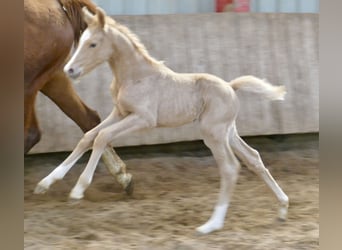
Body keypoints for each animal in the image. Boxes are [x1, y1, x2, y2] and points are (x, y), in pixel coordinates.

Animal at [24, 0, 133, 193]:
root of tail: (57, 4)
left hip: (29, 79)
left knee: (30, 133)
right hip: (52, 77)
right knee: (88, 118)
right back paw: (122, 175)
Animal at [35, 7, 288, 234]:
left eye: (93, 44)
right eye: (81, 41)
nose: (70, 70)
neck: (135, 76)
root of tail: (231, 86)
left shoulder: (142, 119)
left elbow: (102, 137)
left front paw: (78, 189)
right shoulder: (119, 113)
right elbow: (88, 136)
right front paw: (45, 183)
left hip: (213, 133)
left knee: (230, 167)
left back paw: (211, 225)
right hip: (228, 132)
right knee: (253, 158)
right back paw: (283, 208)